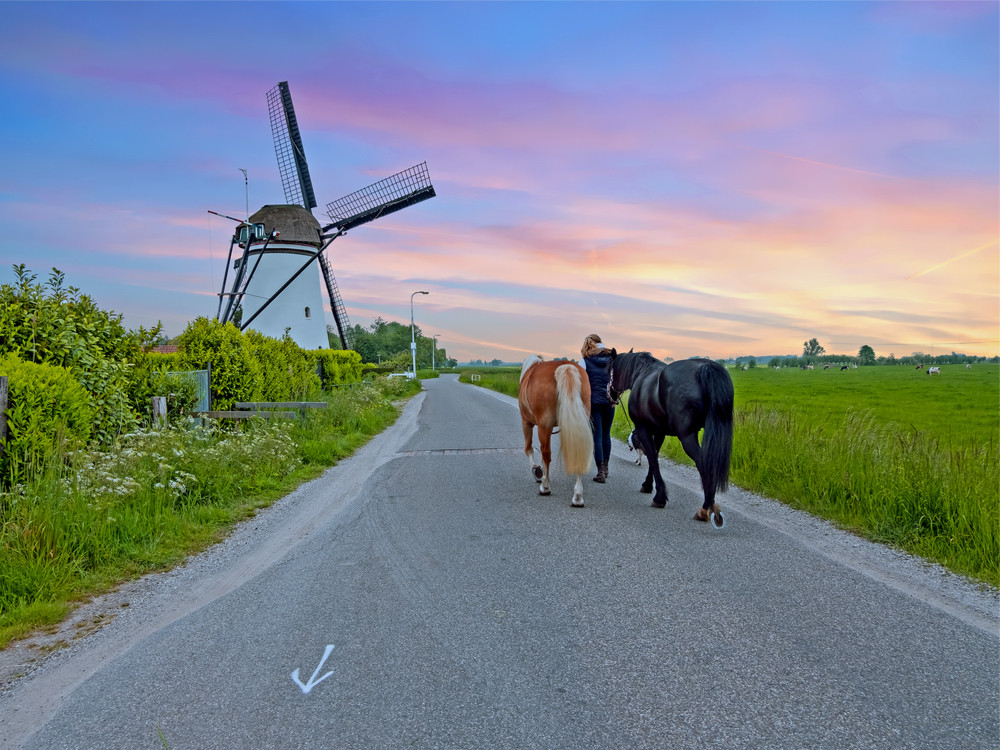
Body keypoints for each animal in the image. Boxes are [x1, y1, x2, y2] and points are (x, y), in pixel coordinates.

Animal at [520, 356, 596, 508]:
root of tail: (565, 366)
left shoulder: (526, 423)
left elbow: (529, 449)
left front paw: (537, 471)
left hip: (544, 425)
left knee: (546, 453)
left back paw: (545, 487)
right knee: (578, 450)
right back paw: (577, 497)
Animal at [600, 352, 736, 528]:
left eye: (610, 370)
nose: (609, 395)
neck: (642, 373)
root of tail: (707, 368)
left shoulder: (643, 429)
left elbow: (652, 457)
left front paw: (659, 497)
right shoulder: (659, 432)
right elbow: (654, 457)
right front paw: (648, 485)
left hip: (687, 436)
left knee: (703, 463)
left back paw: (706, 508)